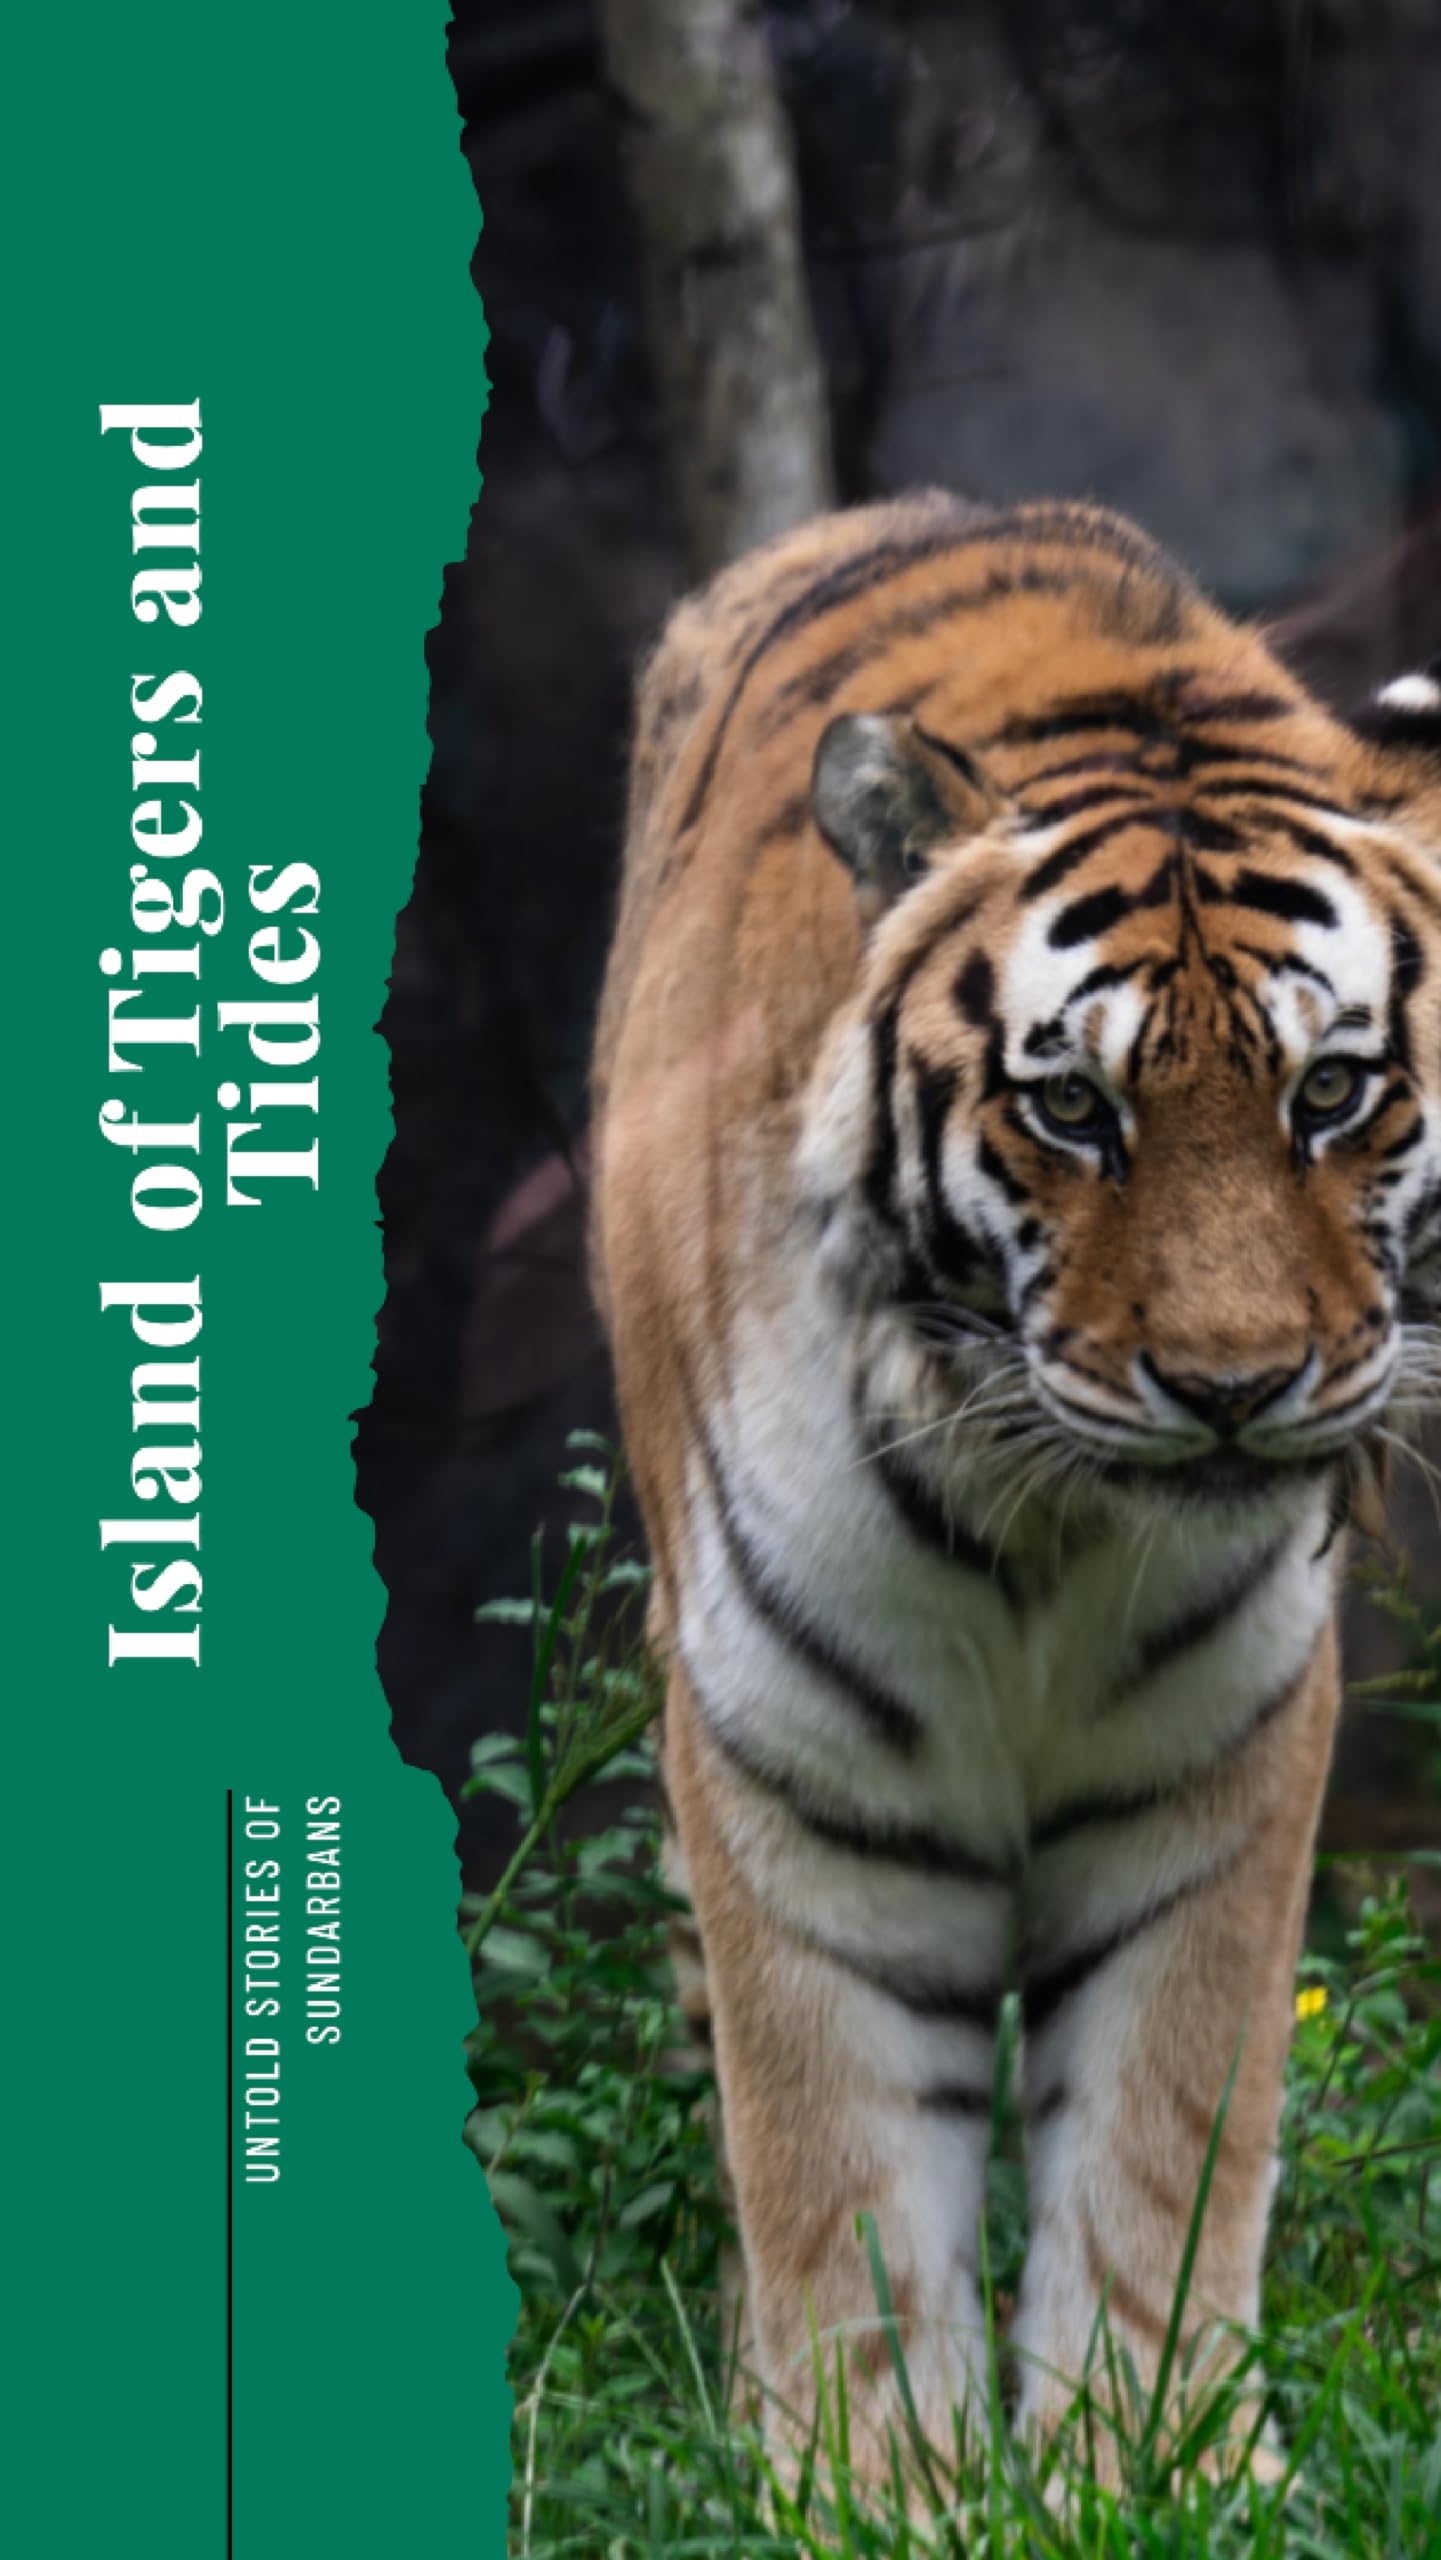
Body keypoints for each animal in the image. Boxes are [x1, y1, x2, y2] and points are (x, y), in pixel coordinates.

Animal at [589, 491, 1441, 2484]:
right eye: (1072, 1112)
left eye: (1332, 1092)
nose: (1233, 1388)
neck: (1047, 1524)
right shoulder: (792, 1752)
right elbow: (831, 2155)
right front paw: (873, 2482)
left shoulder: (1216, 1753)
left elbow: (1162, 2133)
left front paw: (1146, 2458)